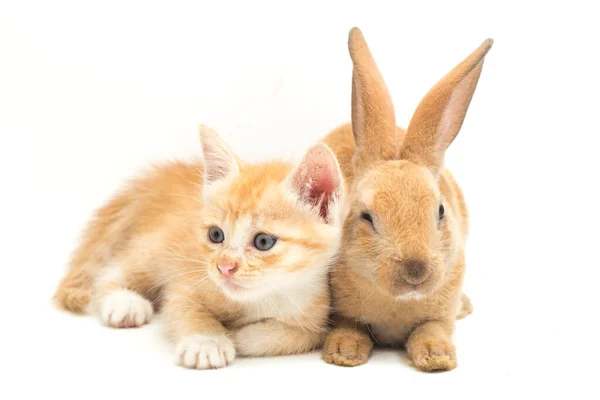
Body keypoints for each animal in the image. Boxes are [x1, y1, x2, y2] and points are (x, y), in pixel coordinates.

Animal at [56, 126, 346, 370]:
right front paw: (207, 341)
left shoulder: (316, 313)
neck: (260, 298)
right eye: (216, 235)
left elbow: (298, 335)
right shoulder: (187, 283)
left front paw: (238, 334)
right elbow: (185, 309)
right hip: (156, 249)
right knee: (113, 270)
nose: (224, 267)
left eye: (264, 242)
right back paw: (125, 303)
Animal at [322, 27, 490, 372]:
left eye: (440, 211)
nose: (416, 270)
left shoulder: (439, 315)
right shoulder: (343, 312)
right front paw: (344, 353)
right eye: (367, 216)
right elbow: (349, 326)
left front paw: (437, 357)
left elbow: (432, 329)